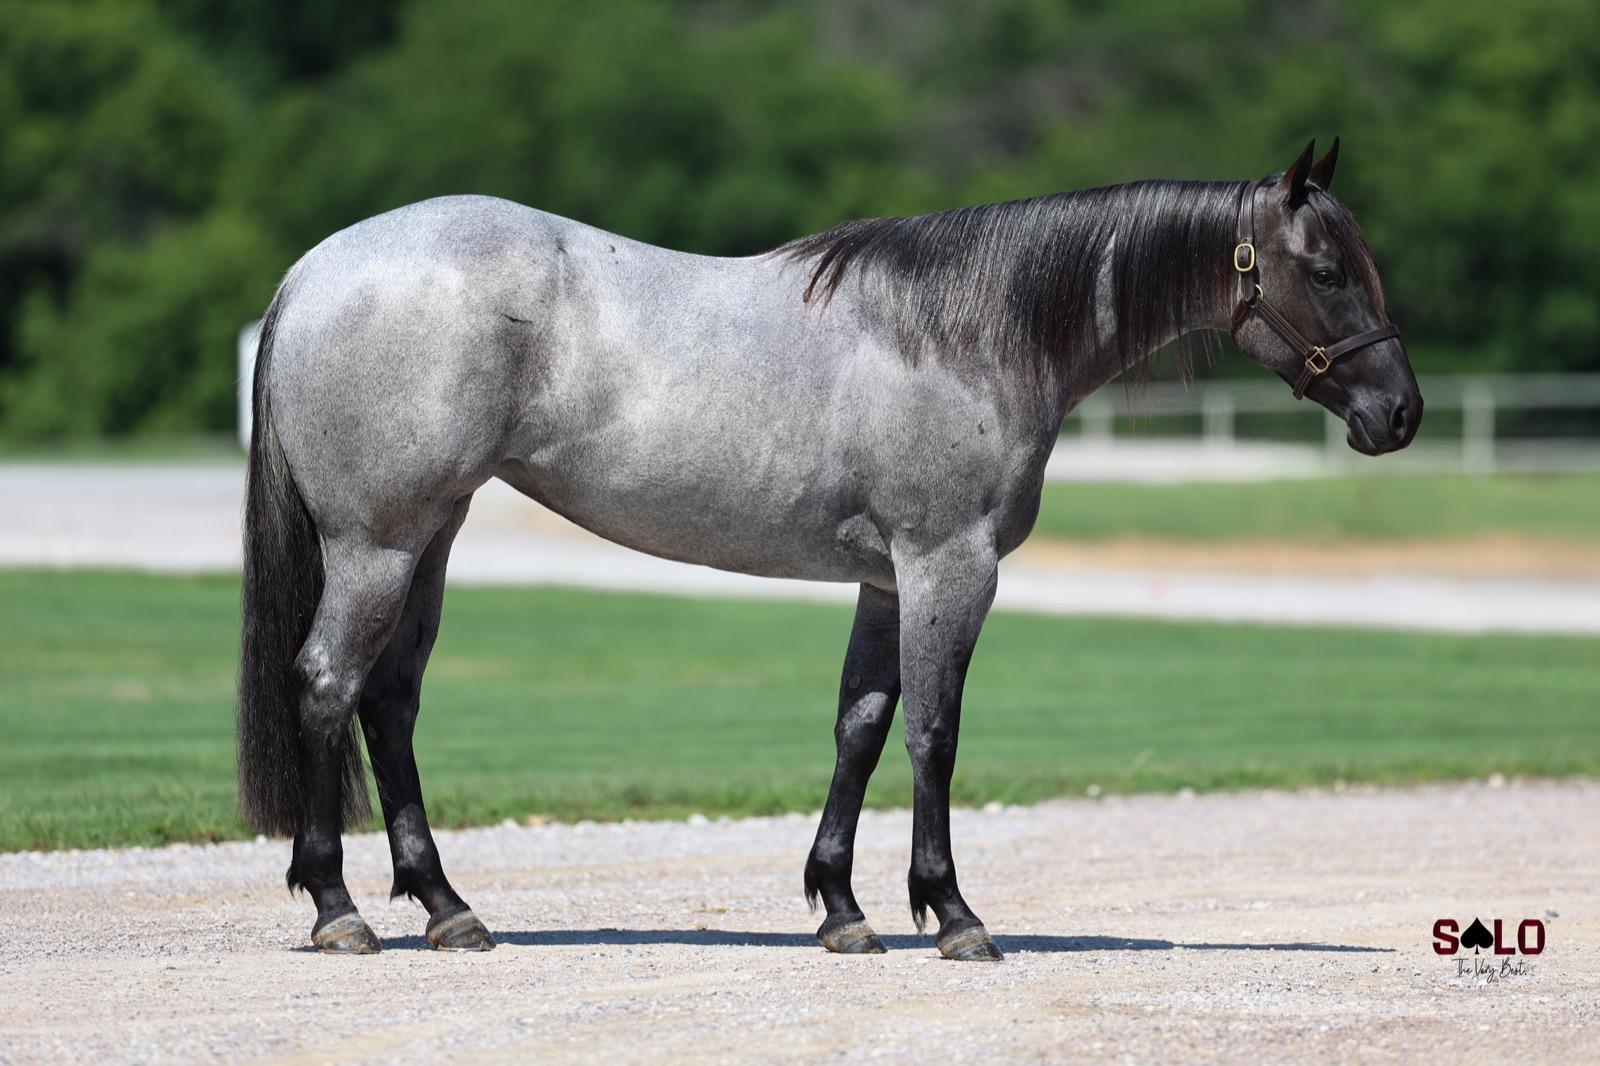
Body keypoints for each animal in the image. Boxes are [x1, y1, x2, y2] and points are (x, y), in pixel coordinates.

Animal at [237, 139, 1421, 959]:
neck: (969, 331)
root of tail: (310, 274)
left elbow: (860, 726)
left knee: (390, 702)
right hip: (378, 544)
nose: (1399, 414)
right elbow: (934, 734)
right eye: (1324, 268)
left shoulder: (886, 583)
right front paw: (952, 912)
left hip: (431, 536)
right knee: (327, 682)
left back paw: (447, 908)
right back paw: (339, 910)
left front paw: (843, 909)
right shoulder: (950, 567)